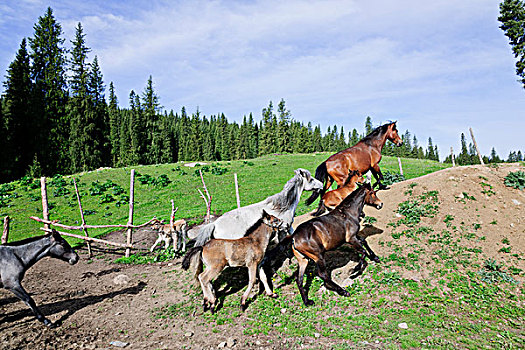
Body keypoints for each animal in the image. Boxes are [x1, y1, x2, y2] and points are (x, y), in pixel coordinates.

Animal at [193, 169, 322, 246]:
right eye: (311, 179)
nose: (321, 185)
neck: (281, 207)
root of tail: (214, 224)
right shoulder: (283, 228)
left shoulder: (288, 226)